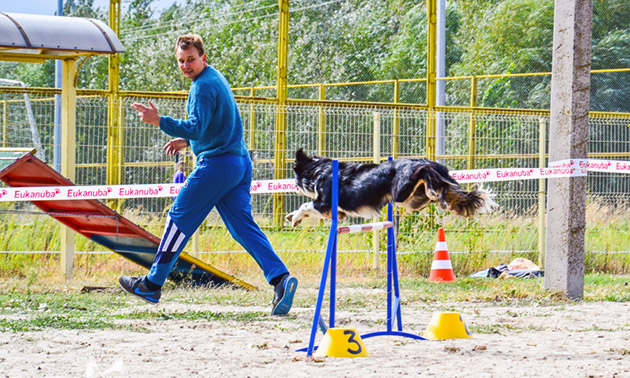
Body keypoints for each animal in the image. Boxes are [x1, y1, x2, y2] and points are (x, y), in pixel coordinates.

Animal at [286, 148, 498, 226]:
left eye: (295, 176)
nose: (293, 185)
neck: (317, 171)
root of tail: (429, 161)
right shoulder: (337, 213)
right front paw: (291, 216)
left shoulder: (324, 204)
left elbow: (306, 205)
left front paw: (294, 218)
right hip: (412, 201)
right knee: (444, 191)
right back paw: (443, 198)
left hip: (402, 191)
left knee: (424, 172)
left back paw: (432, 186)